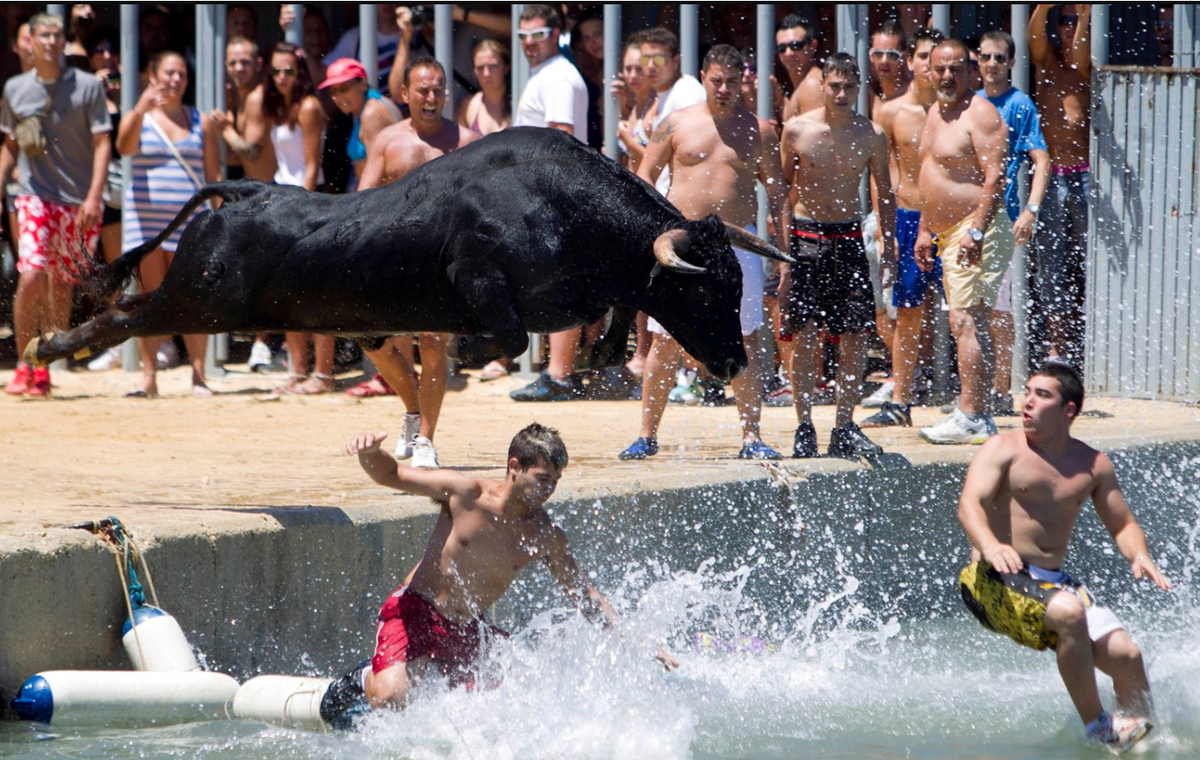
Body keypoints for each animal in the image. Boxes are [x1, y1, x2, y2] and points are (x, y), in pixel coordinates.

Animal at [23, 129, 792, 384]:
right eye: (702, 291)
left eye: (738, 287)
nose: (734, 362)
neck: (569, 207)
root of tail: (242, 190)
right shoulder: (476, 275)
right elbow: (509, 331)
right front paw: (469, 353)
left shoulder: (599, 290)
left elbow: (615, 311)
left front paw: (598, 357)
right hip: (198, 299)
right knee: (123, 315)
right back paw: (47, 344)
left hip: (203, 302)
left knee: (127, 310)